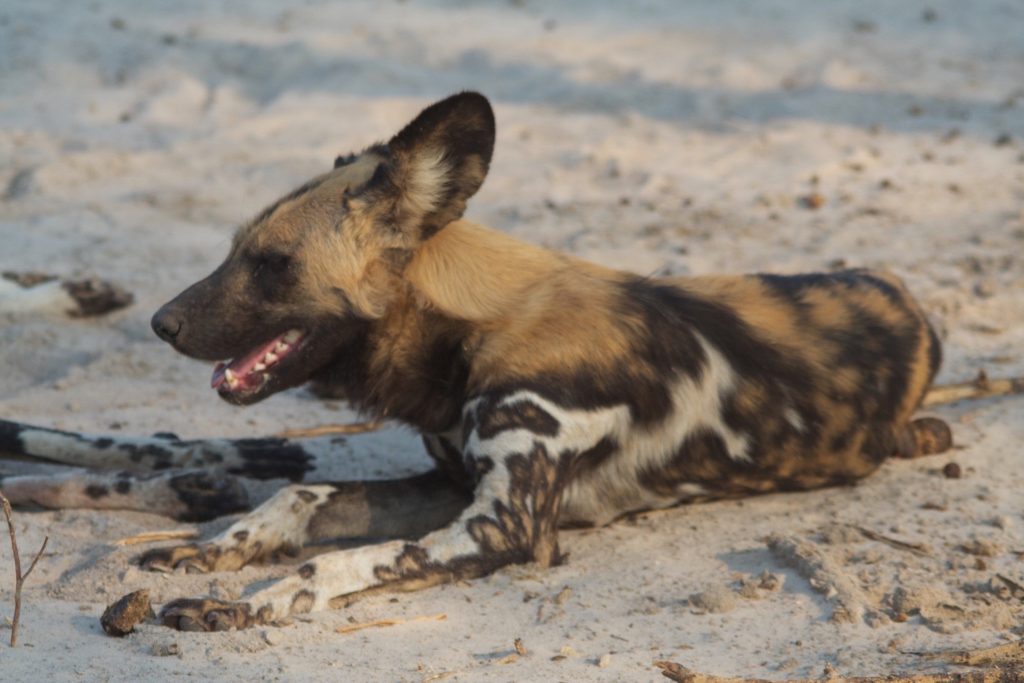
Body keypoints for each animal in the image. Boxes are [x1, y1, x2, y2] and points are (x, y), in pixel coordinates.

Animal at [2, 92, 1015, 634]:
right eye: (233, 250)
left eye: (271, 263)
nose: (160, 323)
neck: (470, 335)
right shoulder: (446, 484)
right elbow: (301, 497)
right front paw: (221, 547)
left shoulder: (505, 526)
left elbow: (347, 560)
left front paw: (261, 597)